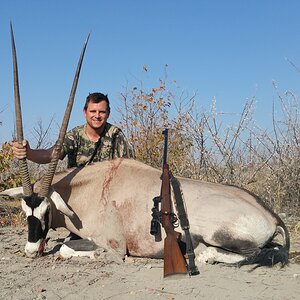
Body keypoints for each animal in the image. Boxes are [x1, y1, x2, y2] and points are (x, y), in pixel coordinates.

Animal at [1, 24, 290, 266]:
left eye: (46, 210)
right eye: (25, 209)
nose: (30, 250)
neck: (91, 191)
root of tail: (271, 216)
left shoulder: (113, 244)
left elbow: (65, 247)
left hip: (221, 235)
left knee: (254, 252)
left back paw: (199, 253)